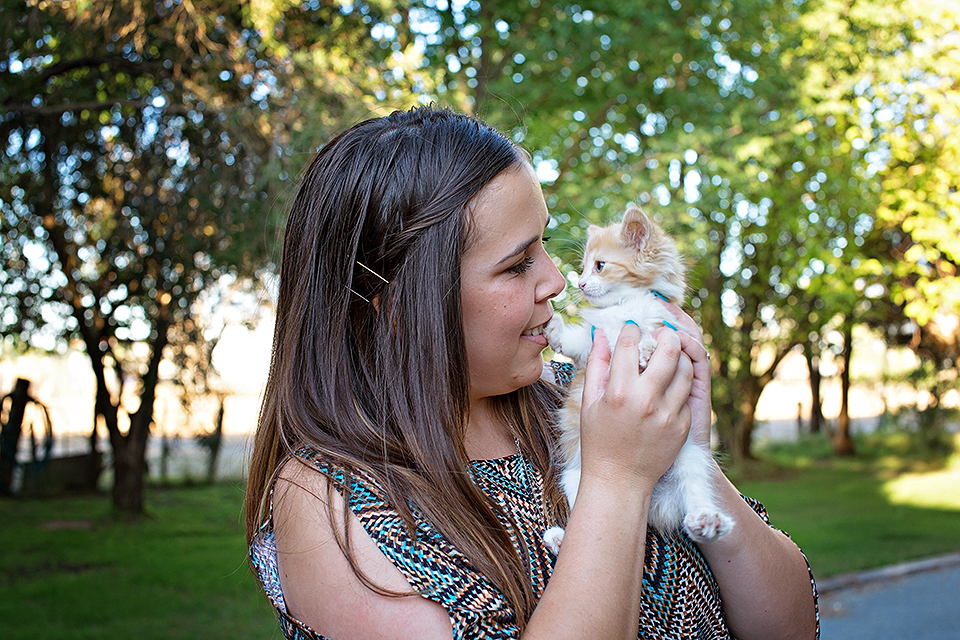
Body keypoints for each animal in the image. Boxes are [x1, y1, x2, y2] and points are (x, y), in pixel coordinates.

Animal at [544, 205, 732, 556]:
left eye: (599, 266)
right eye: (583, 267)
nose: (580, 283)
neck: (624, 306)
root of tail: (652, 501)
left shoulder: (671, 329)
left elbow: (653, 335)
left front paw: (645, 349)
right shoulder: (592, 343)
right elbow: (573, 340)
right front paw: (551, 326)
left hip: (692, 457)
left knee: (695, 495)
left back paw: (708, 522)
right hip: (577, 477)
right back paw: (559, 539)